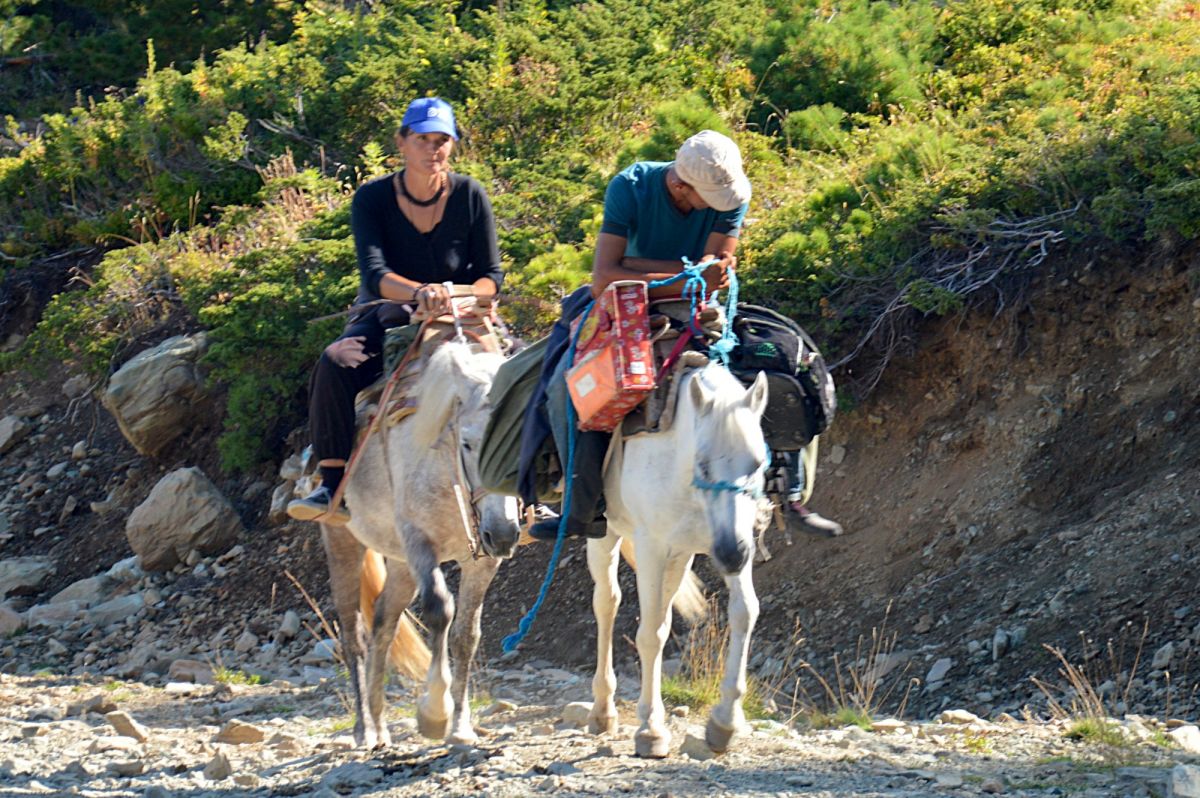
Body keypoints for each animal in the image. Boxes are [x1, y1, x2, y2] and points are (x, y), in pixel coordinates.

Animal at [319, 343, 520, 748]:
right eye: (468, 442)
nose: (504, 533)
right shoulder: (419, 542)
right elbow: (440, 610)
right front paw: (434, 714)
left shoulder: (482, 562)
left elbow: (466, 634)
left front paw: (460, 727)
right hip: (343, 544)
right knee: (353, 635)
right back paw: (365, 729)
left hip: (400, 565)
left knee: (383, 622)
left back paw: (380, 723)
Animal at [588, 364, 768, 758]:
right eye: (703, 462)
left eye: (757, 463)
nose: (732, 555)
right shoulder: (653, 547)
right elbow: (650, 634)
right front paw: (651, 730)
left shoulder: (721, 541)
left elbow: (745, 611)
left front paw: (725, 721)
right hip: (605, 535)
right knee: (607, 603)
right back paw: (603, 709)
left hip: (680, 557)